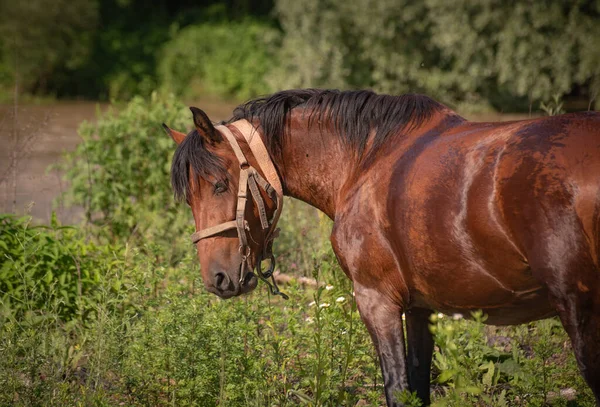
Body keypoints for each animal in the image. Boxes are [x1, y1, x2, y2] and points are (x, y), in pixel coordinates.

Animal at [163, 90, 600, 407]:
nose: (217, 278)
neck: (367, 158)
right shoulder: (423, 309)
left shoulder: (378, 301)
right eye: (189, 199)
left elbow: (397, 390)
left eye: (220, 184)